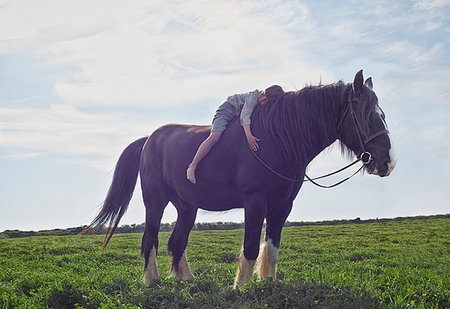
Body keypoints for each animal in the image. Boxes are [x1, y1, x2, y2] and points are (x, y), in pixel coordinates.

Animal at [86, 70, 396, 286]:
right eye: (366, 115)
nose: (387, 162)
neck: (277, 139)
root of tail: (149, 139)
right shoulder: (255, 203)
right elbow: (249, 246)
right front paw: (242, 286)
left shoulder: (282, 207)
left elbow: (271, 247)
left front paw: (267, 282)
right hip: (155, 202)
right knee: (151, 238)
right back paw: (152, 280)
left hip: (187, 206)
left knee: (177, 240)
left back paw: (185, 279)